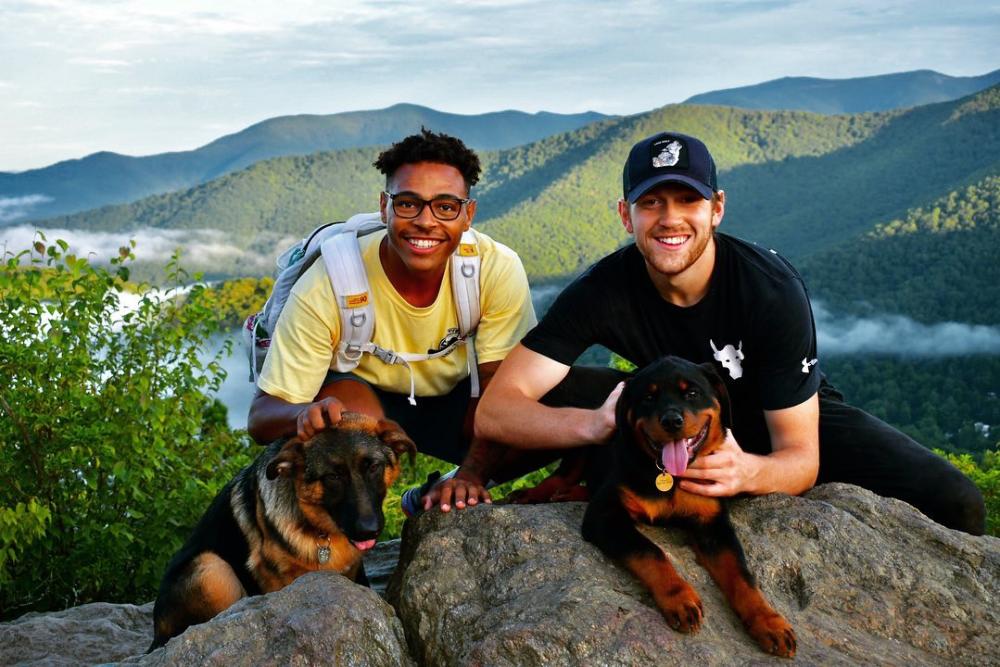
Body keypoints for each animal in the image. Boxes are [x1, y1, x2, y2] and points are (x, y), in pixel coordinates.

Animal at [147, 412, 414, 652]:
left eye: (374, 467)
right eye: (333, 476)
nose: (368, 531)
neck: (321, 531)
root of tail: (156, 635)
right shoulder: (275, 581)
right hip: (212, 568)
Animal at [580, 358, 796, 660]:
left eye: (692, 393)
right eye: (648, 398)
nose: (672, 420)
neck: (670, 476)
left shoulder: (713, 523)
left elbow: (742, 575)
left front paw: (769, 622)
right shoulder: (604, 514)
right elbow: (650, 551)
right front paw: (680, 599)